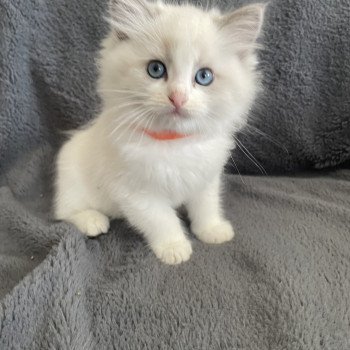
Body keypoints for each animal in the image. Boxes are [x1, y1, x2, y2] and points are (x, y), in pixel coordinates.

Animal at [55, 0, 266, 262]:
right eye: (156, 69)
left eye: (204, 76)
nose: (178, 97)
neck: (174, 142)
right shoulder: (137, 193)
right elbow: (162, 221)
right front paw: (175, 249)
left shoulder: (206, 178)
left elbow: (206, 206)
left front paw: (212, 230)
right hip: (72, 178)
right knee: (65, 210)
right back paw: (92, 221)